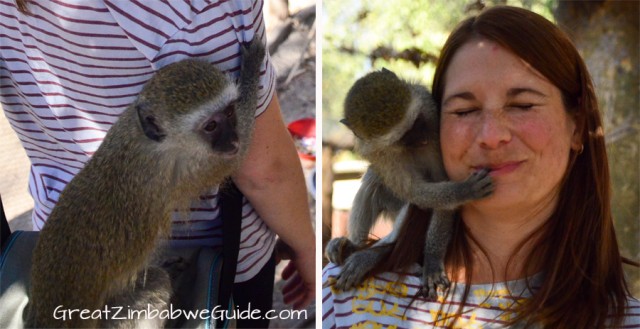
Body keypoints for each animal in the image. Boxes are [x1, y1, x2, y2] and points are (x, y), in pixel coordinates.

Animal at [27, 39, 264, 328]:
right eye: (211, 126)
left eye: (229, 113)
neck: (147, 140)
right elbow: (237, 160)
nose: (233, 140)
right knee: (156, 286)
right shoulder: (182, 169)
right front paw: (253, 67)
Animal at [328, 69, 492, 298]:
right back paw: (357, 246)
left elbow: (439, 190)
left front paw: (432, 259)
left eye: (417, 122)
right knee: (375, 179)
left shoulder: (430, 113)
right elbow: (415, 191)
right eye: (405, 136)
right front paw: (463, 191)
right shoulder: (379, 152)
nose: (423, 138)